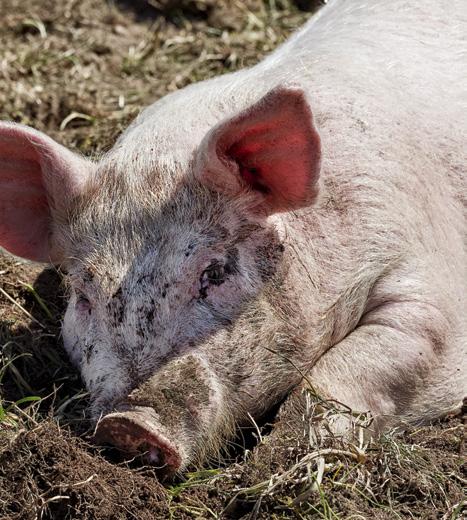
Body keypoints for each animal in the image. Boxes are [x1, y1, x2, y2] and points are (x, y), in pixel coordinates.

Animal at [0, 0, 466, 478]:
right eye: (83, 294)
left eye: (216, 271)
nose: (127, 424)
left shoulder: (432, 295)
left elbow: (336, 377)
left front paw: (268, 467)